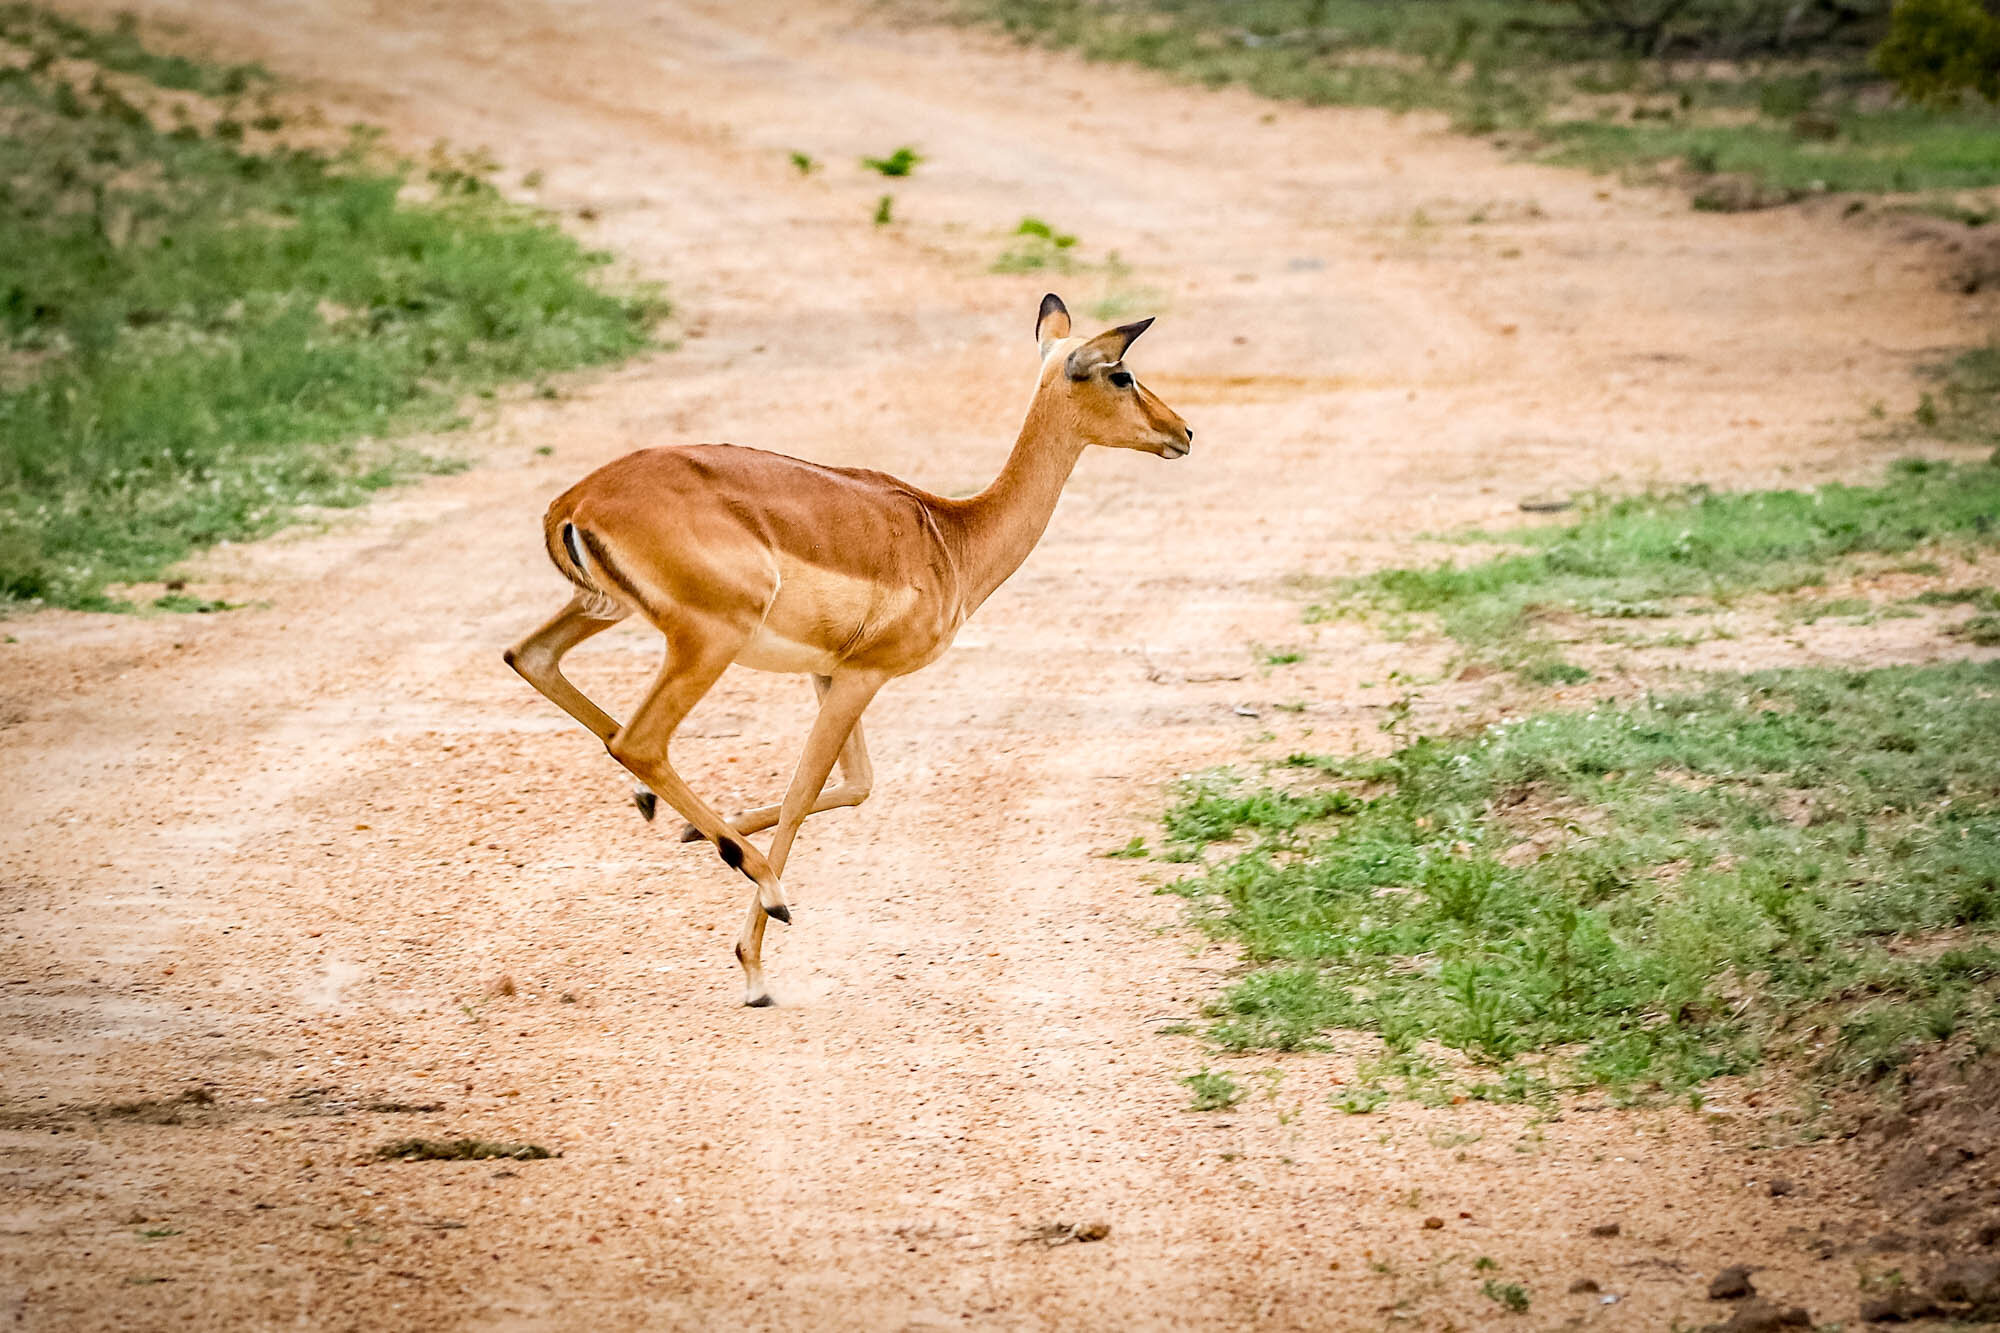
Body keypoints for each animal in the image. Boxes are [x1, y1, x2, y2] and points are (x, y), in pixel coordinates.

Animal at [508, 290, 1184, 996]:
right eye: (1122, 374)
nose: (1183, 432)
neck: (953, 538)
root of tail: (575, 502)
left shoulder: (830, 671)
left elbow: (855, 783)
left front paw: (695, 839)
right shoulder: (864, 675)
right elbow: (806, 790)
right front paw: (754, 965)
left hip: (603, 607)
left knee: (533, 659)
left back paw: (669, 815)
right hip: (708, 639)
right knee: (636, 740)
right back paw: (770, 891)